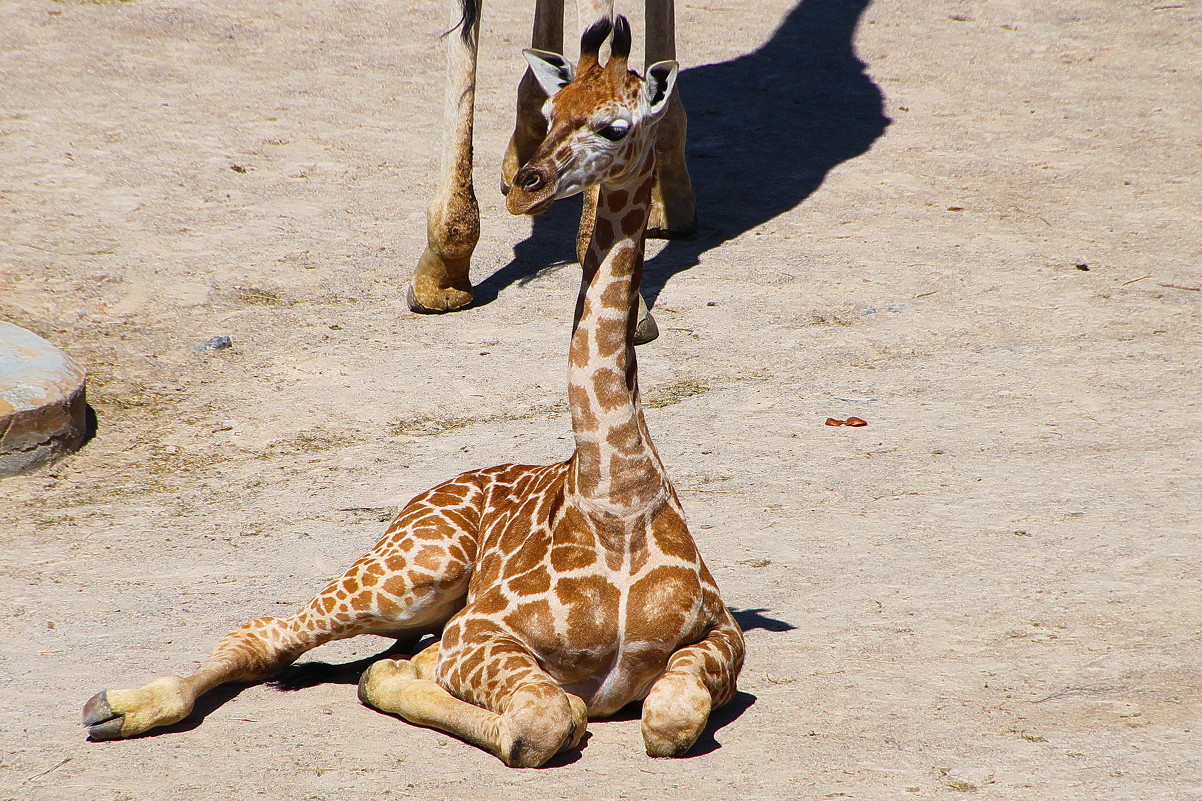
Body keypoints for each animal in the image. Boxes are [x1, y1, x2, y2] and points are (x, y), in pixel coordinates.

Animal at [82, 18, 740, 764]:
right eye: (548, 113)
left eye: (614, 125)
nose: (525, 184)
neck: (617, 496)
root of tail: (430, 491)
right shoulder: (480, 632)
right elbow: (547, 721)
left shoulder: (719, 636)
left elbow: (665, 718)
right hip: (412, 568)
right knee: (266, 631)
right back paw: (117, 706)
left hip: (424, 603)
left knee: (359, 660)